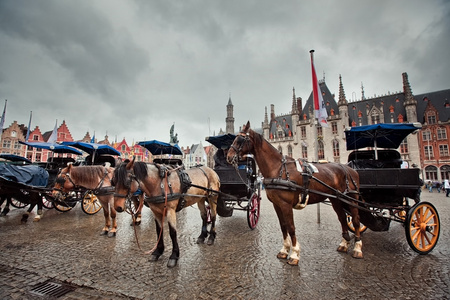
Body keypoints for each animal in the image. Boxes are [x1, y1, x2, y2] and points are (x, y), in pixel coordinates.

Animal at [227, 120, 360, 266]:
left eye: (240, 139)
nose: (228, 157)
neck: (278, 169)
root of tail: (349, 168)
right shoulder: (277, 204)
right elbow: (283, 226)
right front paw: (284, 251)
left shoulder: (286, 204)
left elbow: (291, 227)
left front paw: (295, 254)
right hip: (336, 199)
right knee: (342, 218)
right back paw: (344, 244)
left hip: (352, 199)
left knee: (356, 220)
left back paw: (357, 248)